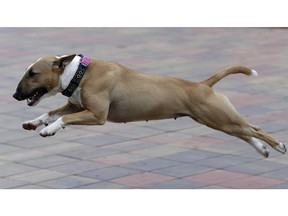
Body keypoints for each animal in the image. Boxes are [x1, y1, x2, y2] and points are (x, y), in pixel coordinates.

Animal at [12, 54, 286, 158]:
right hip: (219, 121)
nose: (14, 95)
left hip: (219, 117)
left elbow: (63, 119)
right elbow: (50, 112)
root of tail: (203, 85)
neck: (80, 73)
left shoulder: (97, 115)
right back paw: (262, 150)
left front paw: (48, 130)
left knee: (255, 129)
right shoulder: (76, 106)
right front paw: (34, 123)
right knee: (246, 131)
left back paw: (278, 146)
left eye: (33, 73)